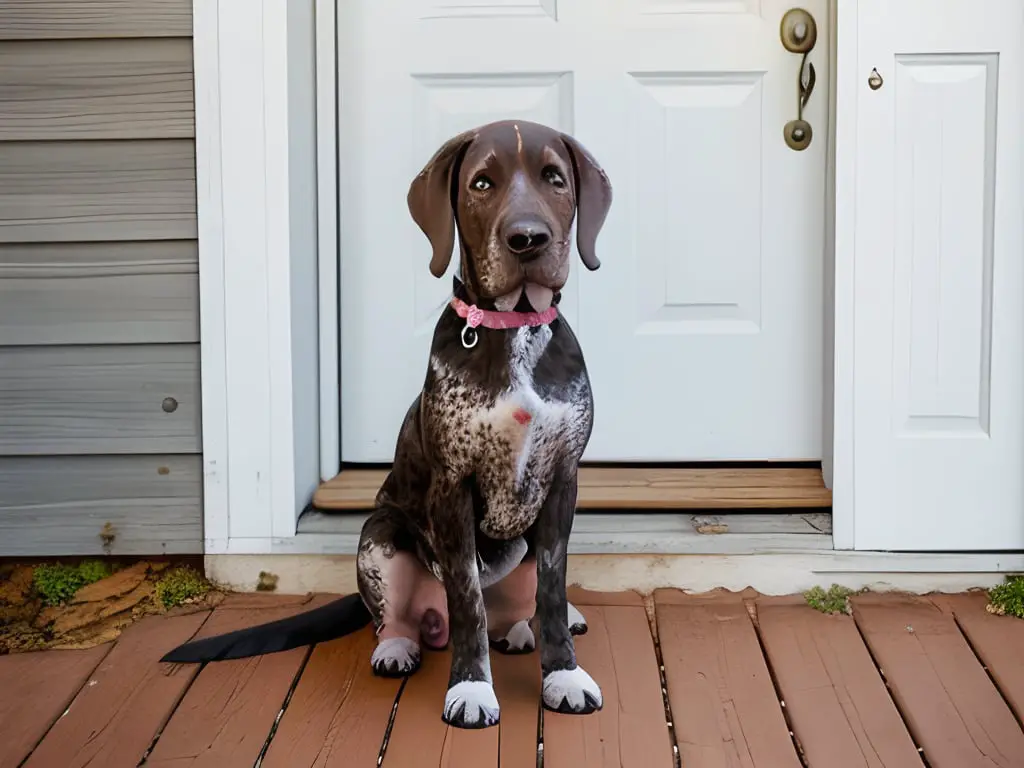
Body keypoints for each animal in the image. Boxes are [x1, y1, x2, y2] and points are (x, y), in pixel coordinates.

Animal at [156, 120, 610, 733]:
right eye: (482, 183)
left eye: (554, 179)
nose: (528, 239)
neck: (512, 328)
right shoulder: (452, 487)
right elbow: (467, 599)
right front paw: (472, 687)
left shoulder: (562, 480)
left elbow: (554, 593)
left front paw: (563, 674)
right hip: (380, 535)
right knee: (401, 618)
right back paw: (398, 646)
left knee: (521, 603)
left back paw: (518, 629)